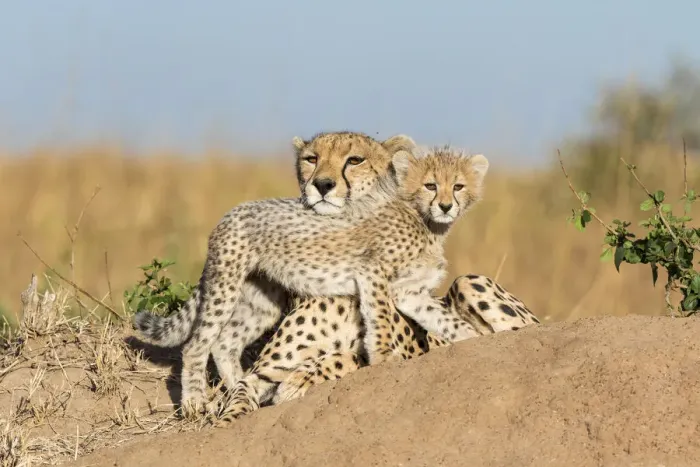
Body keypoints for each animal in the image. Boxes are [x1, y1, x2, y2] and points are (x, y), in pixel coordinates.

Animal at [135, 142, 489, 418]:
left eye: (458, 186)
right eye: (430, 185)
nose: (446, 205)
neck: (423, 219)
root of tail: (232, 211)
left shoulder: (409, 292)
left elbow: (443, 319)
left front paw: (473, 338)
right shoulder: (371, 272)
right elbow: (380, 322)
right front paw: (383, 361)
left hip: (262, 300)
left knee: (226, 342)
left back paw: (240, 388)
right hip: (226, 285)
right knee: (197, 344)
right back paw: (195, 403)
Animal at [214, 273, 539, 423]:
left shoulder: (400, 358)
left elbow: (344, 357)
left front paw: (299, 381)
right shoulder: (262, 373)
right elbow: (240, 391)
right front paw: (227, 421)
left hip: (470, 283)